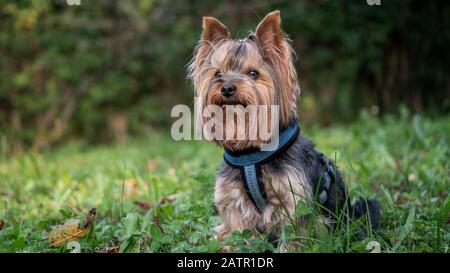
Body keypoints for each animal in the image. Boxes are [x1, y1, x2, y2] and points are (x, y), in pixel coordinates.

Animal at [186, 10, 380, 244]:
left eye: (253, 73)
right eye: (217, 74)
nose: (227, 88)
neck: (252, 156)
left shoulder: (293, 199)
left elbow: (296, 233)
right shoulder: (233, 200)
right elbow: (238, 231)